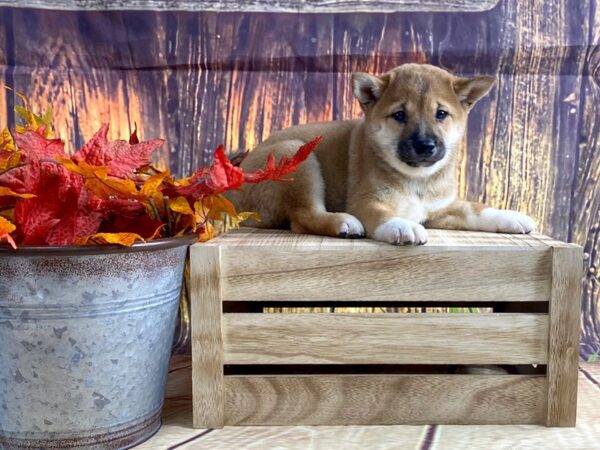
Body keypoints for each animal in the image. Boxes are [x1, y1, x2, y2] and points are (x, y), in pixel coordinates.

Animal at [230, 63, 536, 244]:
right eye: (399, 115)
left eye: (441, 114)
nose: (425, 145)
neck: (417, 181)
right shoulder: (366, 202)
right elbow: (383, 216)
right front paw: (402, 226)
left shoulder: (440, 208)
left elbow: (476, 209)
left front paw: (511, 217)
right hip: (295, 154)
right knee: (303, 217)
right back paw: (342, 221)